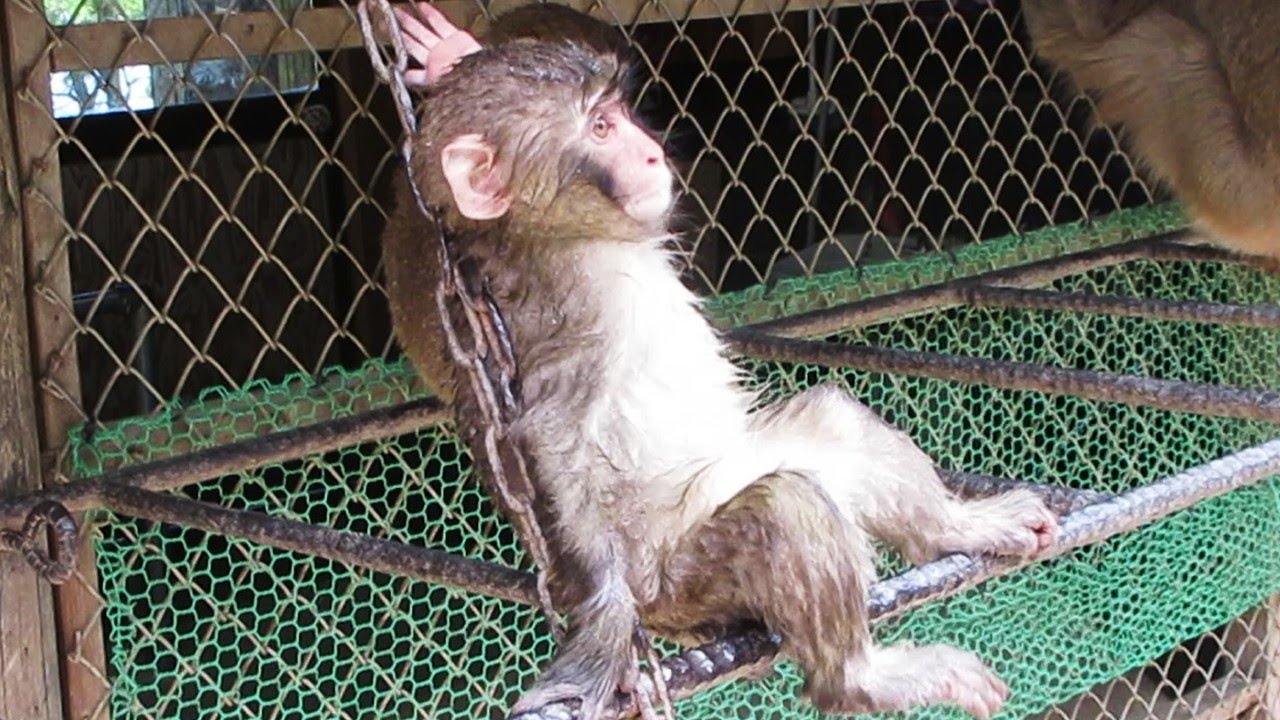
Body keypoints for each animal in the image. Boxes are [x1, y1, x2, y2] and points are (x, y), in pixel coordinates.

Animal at [381, 36, 1061, 720]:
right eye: (600, 128)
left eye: (618, 114)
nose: (651, 150)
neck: (575, 239)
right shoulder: (571, 314)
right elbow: (550, 442)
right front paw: (603, 619)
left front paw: (439, 48)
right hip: (682, 583)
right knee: (786, 507)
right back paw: (862, 678)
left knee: (832, 423)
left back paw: (957, 526)